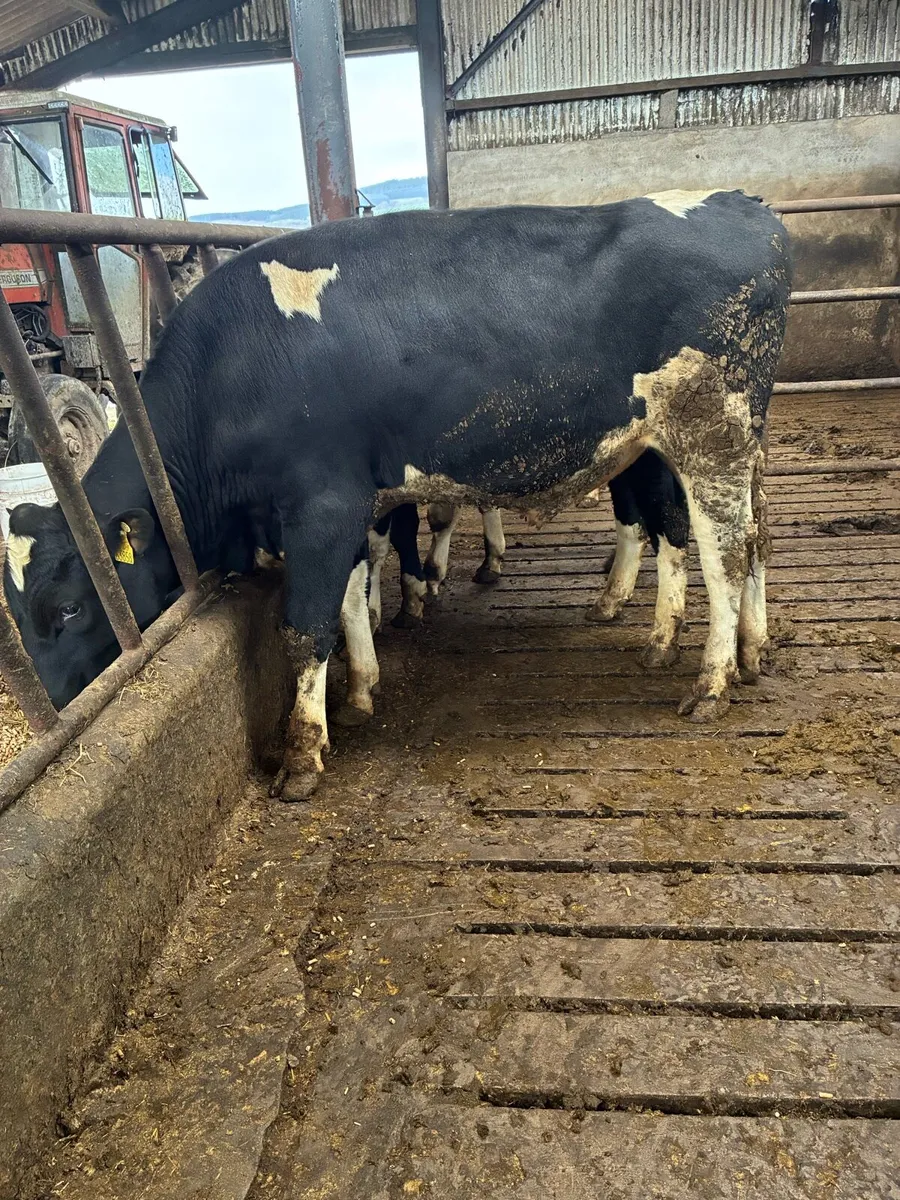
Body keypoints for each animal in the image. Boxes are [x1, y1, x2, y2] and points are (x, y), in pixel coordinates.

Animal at [4, 191, 791, 803]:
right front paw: (361, 689)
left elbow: (307, 625)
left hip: (711, 437)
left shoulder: (320, 504)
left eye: (70, 607)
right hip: (710, 445)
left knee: (721, 552)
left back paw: (711, 683)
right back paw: (731, 649)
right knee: (744, 539)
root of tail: (742, 205)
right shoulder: (354, 503)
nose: (60, 701)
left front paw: (302, 755)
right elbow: (354, 594)